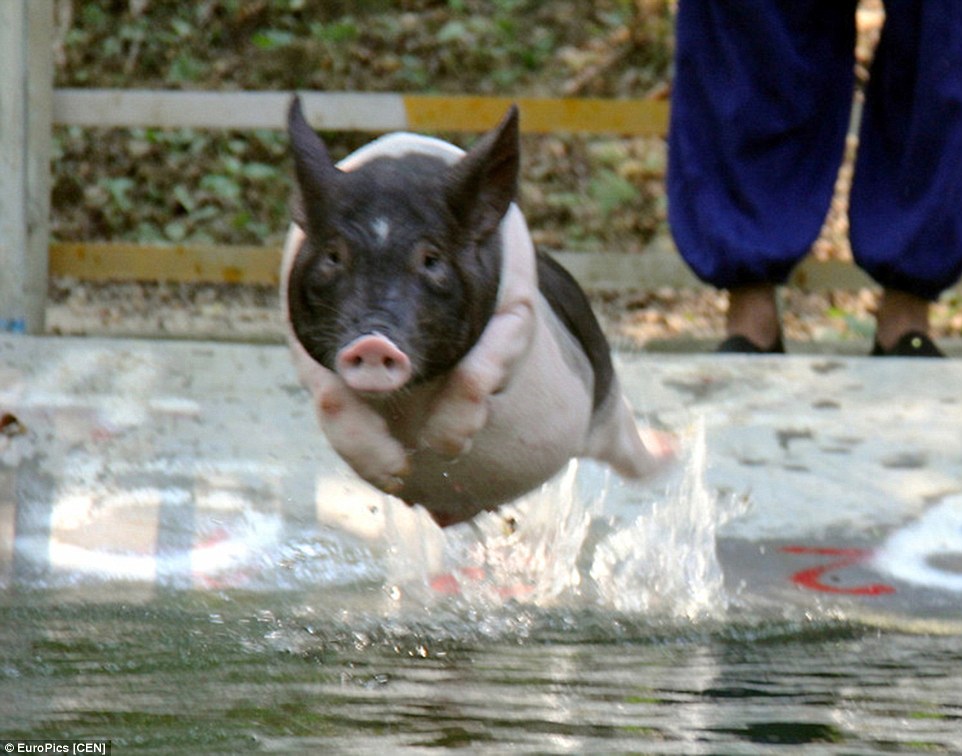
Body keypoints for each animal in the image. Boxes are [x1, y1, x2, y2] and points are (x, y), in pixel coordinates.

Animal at [278, 97, 672, 528]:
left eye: (431, 259)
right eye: (333, 255)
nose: (372, 342)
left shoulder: (519, 309)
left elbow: (475, 372)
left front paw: (442, 446)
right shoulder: (297, 333)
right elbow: (330, 397)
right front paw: (396, 470)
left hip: (605, 401)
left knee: (631, 453)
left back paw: (672, 450)